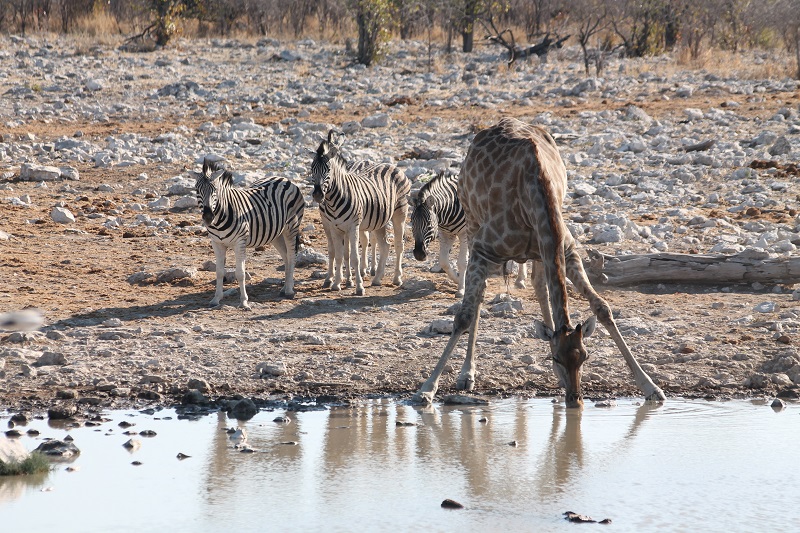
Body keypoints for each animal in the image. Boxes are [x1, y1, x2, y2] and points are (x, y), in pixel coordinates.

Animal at [195, 158, 306, 308]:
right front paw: (216, 299)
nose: (208, 217)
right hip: (276, 233)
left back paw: (289, 290)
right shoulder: (217, 243)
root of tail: (284, 178)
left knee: (292, 255)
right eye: (197, 190)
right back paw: (285, 287)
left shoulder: (239, 242)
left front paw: (244, 302)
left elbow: (240, 273)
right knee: (286, 256)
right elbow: (219, 272)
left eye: (215, 191)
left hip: (291, 227)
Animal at [310, 129, 412, 296]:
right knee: (385, 245)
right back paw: (377, 279)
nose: (318, 195)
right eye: (312, 170)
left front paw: (358, 286)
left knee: (398, 244)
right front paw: (336, 283)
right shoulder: (333, 227)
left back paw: (397, 278)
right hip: (380, 220)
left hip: (400, 213)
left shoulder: (353, 226)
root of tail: (390, 164)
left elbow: (354, 257)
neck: (333, 200)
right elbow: (338, 254)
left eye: (328, 170)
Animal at [412, 170, 524, 298]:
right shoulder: (445, 234)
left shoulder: (464, 233)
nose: (419, 254)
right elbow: (444, 261)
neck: (451, 207)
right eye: (411, 222)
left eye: (429, 223)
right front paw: (458, 279)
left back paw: (520, 280)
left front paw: (461, 289)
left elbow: (462, 262)